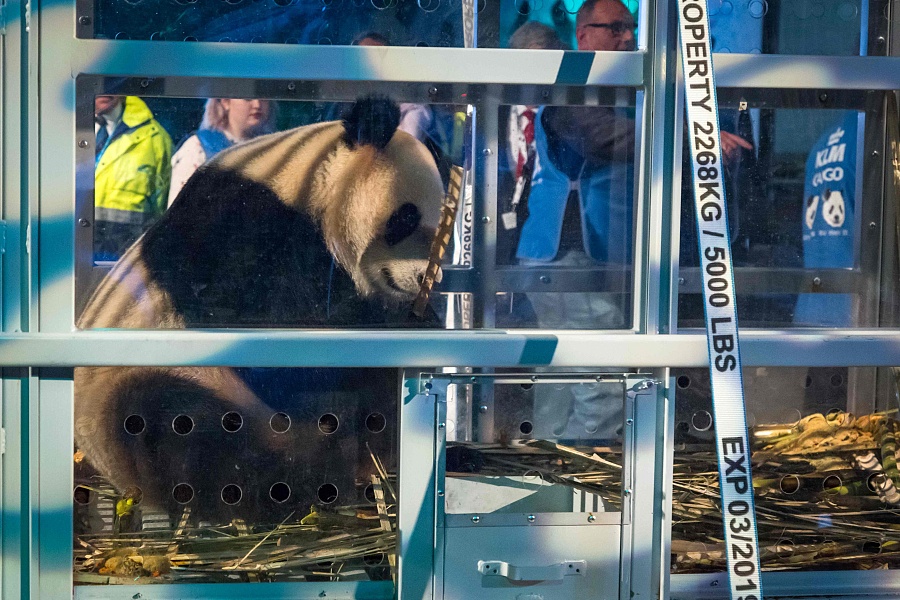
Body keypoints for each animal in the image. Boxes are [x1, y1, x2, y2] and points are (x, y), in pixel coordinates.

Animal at [74, 96, 446, 525]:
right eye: (406, 217)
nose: (424, 278)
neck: (302, 181)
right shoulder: (238, 225)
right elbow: (267, 335)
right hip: (131, 389)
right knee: (178, 426)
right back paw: (296, 479)